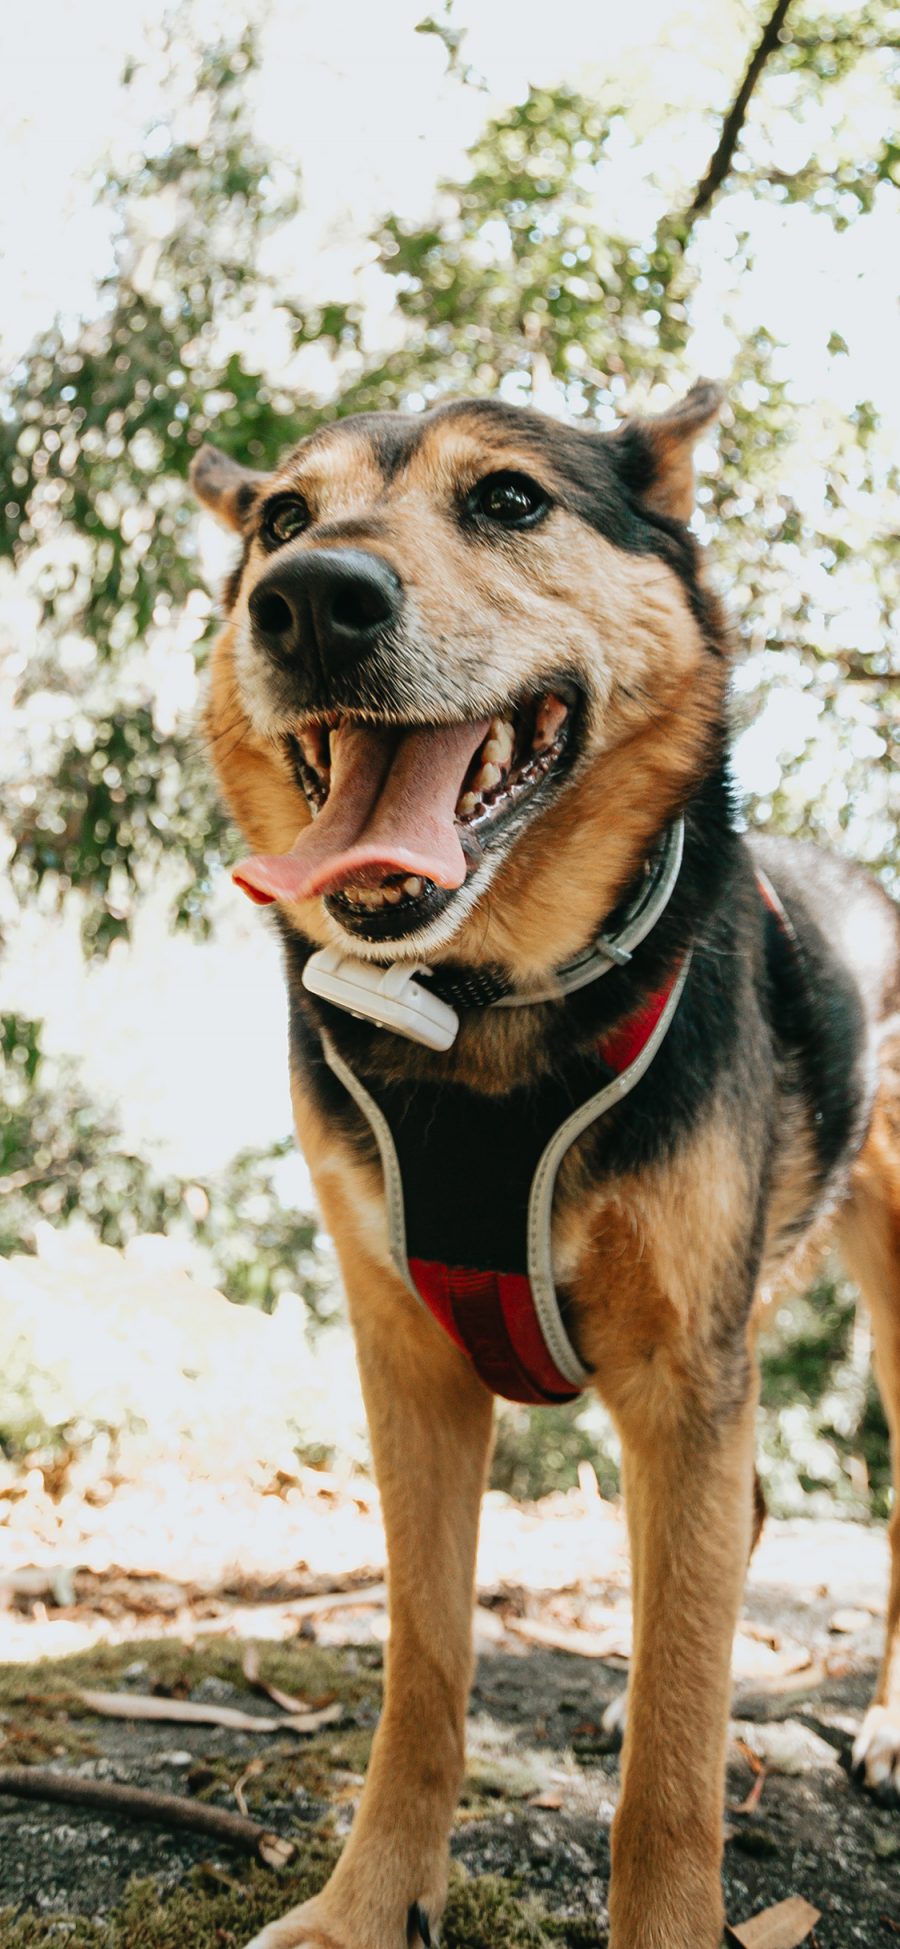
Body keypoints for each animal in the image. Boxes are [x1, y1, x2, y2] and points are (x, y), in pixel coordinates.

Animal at [191, 380, 900, 1949]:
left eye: (510, 499)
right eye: (284, 516)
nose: (310, 600)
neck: (476, 1008)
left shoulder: (685, 1376)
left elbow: (674, 1770)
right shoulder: (408, 1363)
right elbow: (426, 1669)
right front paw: (366, 1902)